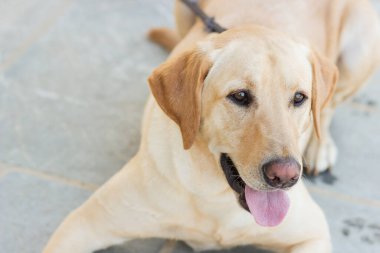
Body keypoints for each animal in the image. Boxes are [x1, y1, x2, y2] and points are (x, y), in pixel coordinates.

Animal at [43, 0, 378, 253]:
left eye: (299, 98)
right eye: (240, 96)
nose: (285, 176)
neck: (215, 196)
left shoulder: (312, 233)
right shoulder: (83, 224)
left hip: (362, 43)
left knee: (332, 105)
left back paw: (320, 146)